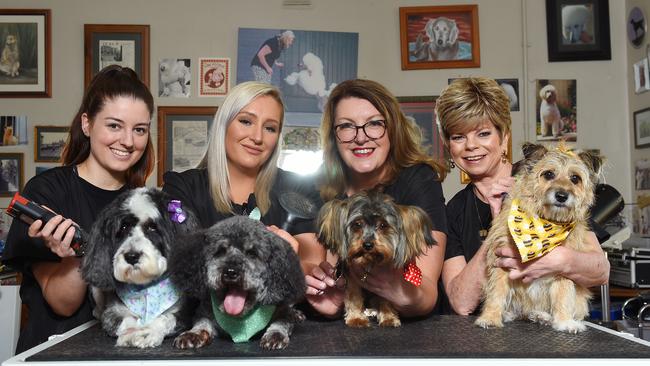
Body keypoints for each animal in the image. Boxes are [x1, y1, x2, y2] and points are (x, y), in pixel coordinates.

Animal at [81, 187, 197, 348]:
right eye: (123, 227)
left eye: (152, 227)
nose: (131, 256)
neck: (144, 286)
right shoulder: (112, 313)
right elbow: (125, 321)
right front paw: (130, 333)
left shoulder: (182, 314)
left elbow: (164, 319)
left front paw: (148, 332)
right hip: (96, 289)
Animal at [316, 190, 432, 328]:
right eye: (357, 224)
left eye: (382, 225)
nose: (367, 245)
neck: (370, 262)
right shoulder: (351, 278)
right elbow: (353, 296)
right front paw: (356, 318)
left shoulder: (388, 285)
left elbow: (387, 298)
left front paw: (388, 317)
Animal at [470, 143, 604, 334]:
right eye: (548, 174)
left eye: (575, 178)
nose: (562, 196)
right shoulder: (500, 260)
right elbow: (497, 292)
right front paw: (490, 317)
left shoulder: (564, 267)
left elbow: (563, 295)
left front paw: (564, 322)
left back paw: (543, 316)